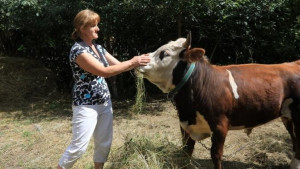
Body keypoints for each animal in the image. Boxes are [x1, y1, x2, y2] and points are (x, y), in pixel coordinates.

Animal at [137, 32, 300, 168]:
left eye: (164, 53)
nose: (140, 60)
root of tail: (294, 63)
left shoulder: (220, 125)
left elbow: (216, 155)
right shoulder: (185, 125)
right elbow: (186, 152)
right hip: (287, 116)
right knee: (294, 139)